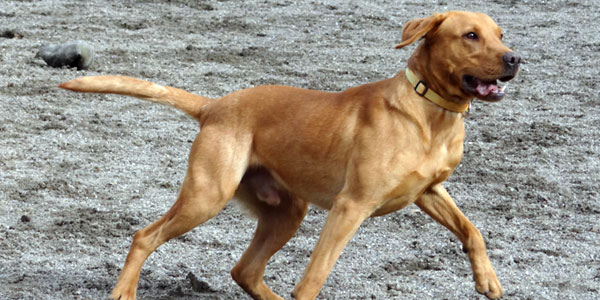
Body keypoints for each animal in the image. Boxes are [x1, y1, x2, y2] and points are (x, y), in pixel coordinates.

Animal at [61, 10, 520, 298]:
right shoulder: (351, 206)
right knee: (145, 236)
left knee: (244, 271)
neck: (430, 114)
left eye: (500, 34)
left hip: (285, 213)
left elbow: (472, 231)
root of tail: (215, 106)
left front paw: (489, 282)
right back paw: (124, 292)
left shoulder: (429, 191)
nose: (515, 58)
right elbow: (314, 277)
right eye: (470, 35)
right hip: (206, 197)